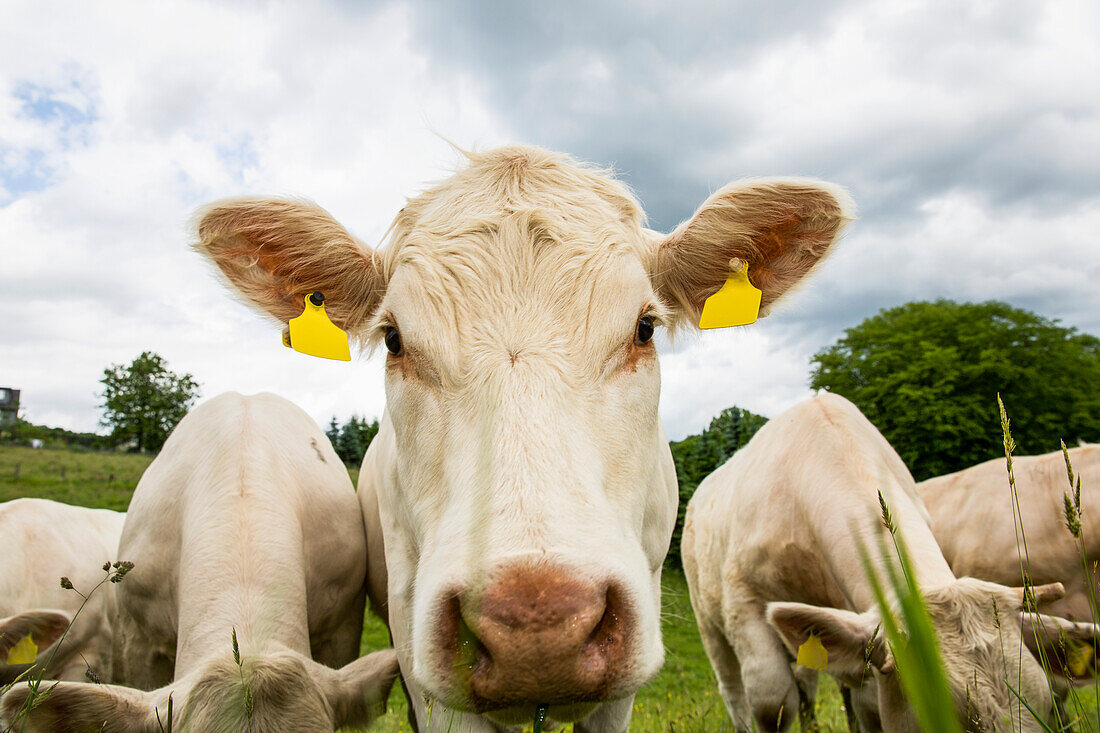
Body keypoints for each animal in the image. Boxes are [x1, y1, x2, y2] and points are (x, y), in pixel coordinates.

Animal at [682, 394, 1095, 730]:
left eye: (1045, 706)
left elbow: (866, 704)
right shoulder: (742, 602)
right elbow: (773, 702)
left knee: (810, 685)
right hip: (708, 623)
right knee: (734, 689)